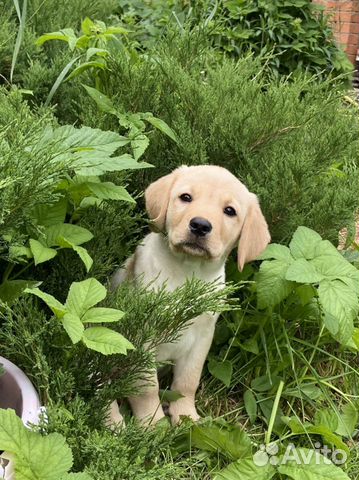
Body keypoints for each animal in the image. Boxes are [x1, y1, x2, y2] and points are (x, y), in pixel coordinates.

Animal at [109, 164, 270, 424]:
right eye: (186, 197)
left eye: (230, 211)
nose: (201, 225)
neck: (187, 272)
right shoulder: (142, 336)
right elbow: (147, 387)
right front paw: (153, 423)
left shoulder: (202, 337)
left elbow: (187, 381)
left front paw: (186, 417)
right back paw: (115, 423)